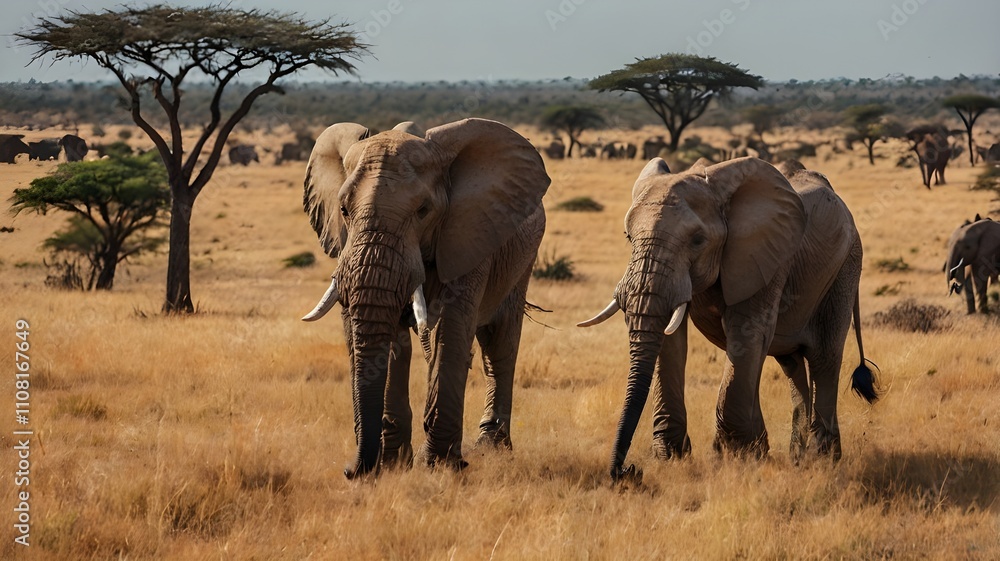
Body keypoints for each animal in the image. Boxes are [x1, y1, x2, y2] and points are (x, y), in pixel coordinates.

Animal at [301, 118, 550, 479]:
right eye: (343, 209)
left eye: (423, 210)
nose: (351, 471)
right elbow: (391, 341)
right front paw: (393, 464)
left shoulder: (468, 233)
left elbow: (452, 326)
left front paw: (439, 466)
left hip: (522, 258)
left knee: (499, 342)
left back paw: (491, 447)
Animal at [578, 157, 878, 481]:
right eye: (628, 237)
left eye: (698, 240)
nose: (627, 470)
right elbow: (671, 340)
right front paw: (672, 458)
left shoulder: (765, 257)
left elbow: (746, 333)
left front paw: (736, 459)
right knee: (791, 365)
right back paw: (797, 457)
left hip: (846, 266)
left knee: (824, 357)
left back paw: (820, 460)